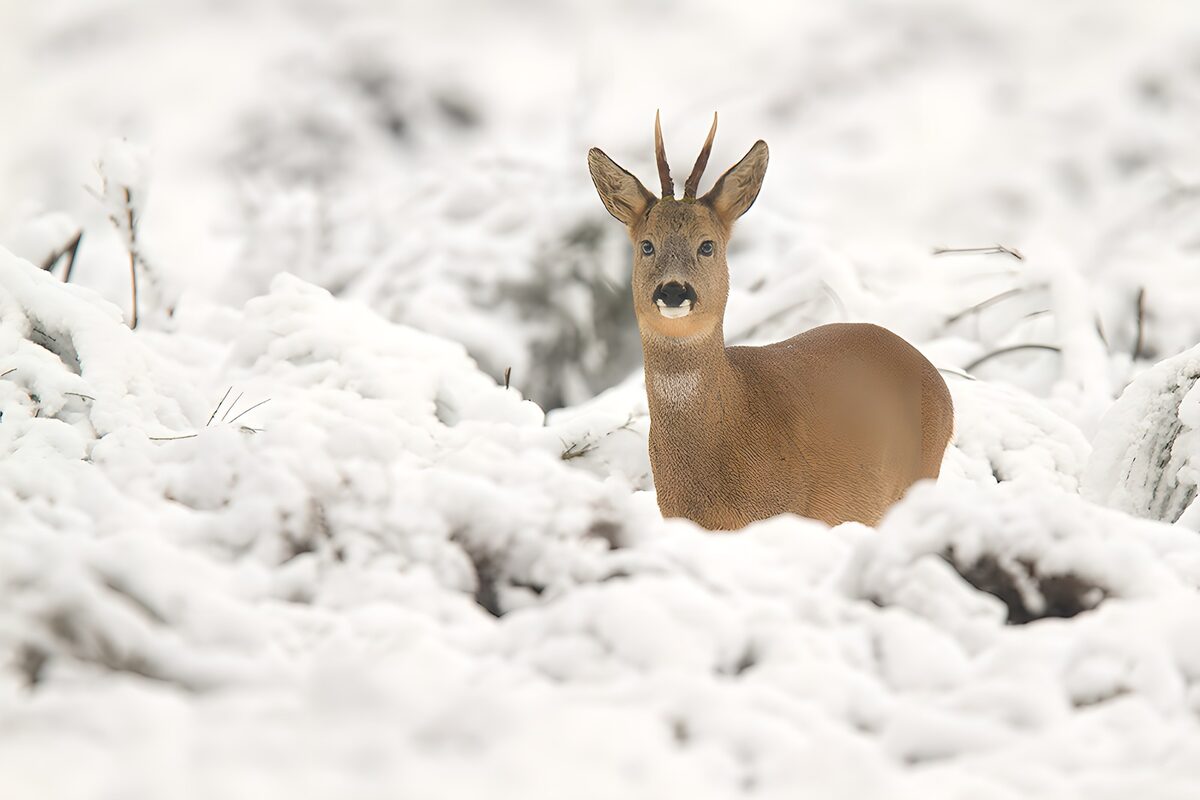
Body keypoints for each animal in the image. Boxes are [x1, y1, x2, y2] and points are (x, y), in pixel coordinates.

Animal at [587, 112, 954, 529]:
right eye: (647, 245)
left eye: (707, 245)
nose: (674, 291)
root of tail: (937, 378)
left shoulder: (788, 512)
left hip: (917, 476)